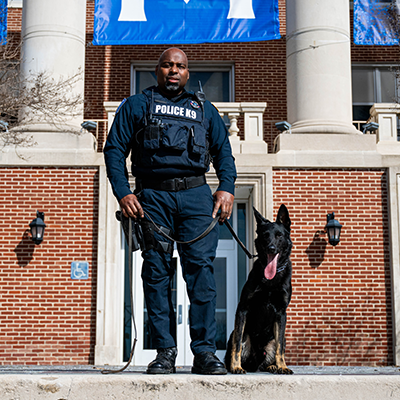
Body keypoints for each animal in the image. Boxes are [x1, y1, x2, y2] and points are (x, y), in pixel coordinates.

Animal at [225, 205, 294, 374]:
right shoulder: (243, 309)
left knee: (276, 348)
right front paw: (235, 366)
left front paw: (283, 365)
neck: (270, 279)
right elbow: (237, 344)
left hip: (275, 340)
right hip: (242, 334)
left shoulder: (281, 312)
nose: (271, 248)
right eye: (265, 236)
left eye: (279, 235)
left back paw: (274, 366)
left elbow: (280, 348)